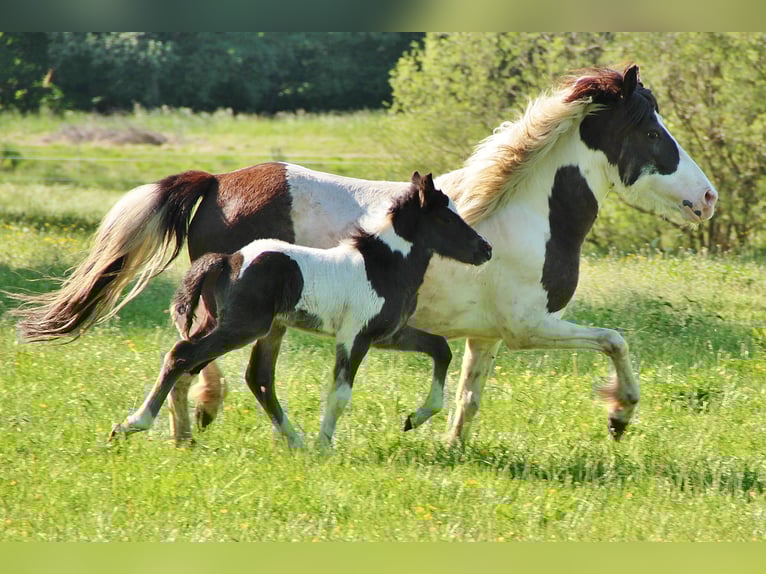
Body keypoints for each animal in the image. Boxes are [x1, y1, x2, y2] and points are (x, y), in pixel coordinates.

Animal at [108, 172, 492, 448]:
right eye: (446, 219)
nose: (485, 250)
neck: (382, 266)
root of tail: (229, 260)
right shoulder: (354, 337)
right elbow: (340, 393)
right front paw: (325, 446)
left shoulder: (389, 334)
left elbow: (440, 350)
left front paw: (414, 418)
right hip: (243, 327)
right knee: (184, 356)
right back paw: (131, 425)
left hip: (225, 322)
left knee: (244, 374)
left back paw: (293, 440)